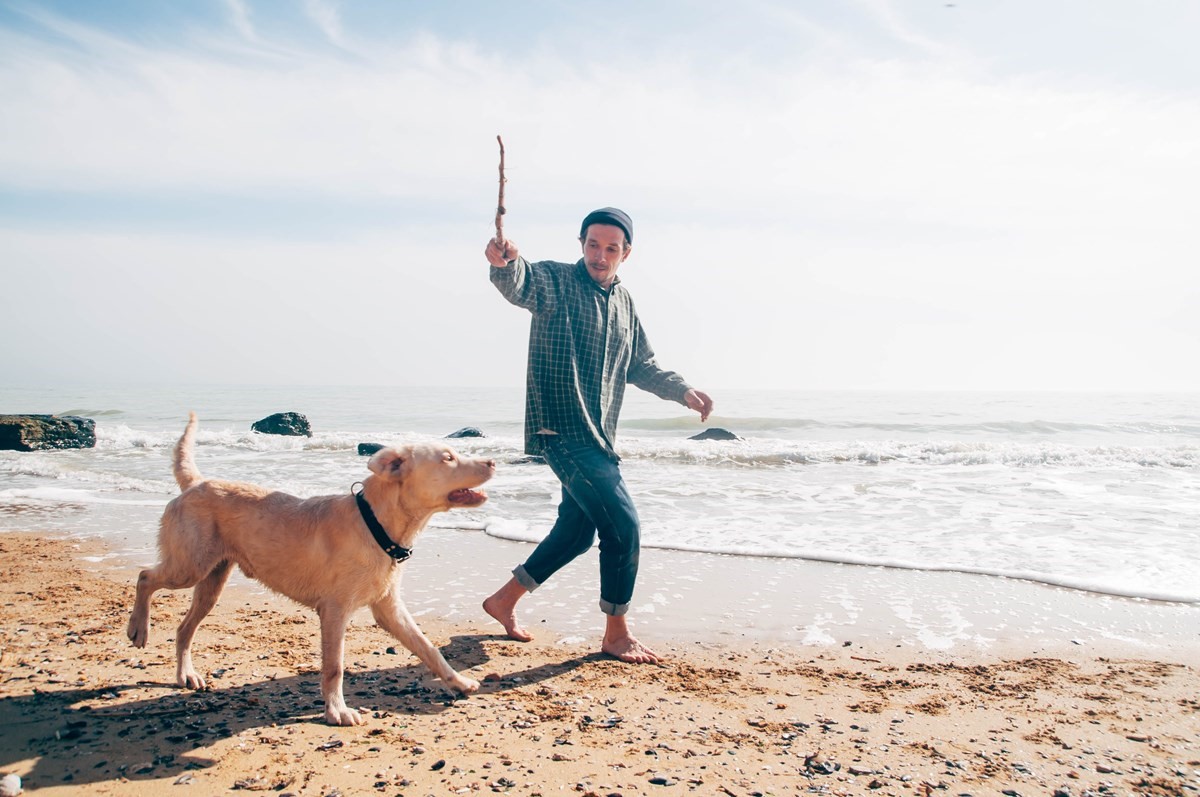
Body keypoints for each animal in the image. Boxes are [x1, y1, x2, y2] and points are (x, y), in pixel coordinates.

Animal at [125, 412, 492, 724]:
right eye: (448, 458)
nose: (491, 461)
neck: (375, 523)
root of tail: (195, 483)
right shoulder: (334, 611)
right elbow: (334, 667)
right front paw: (337, 711)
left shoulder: (389, 608)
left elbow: (428, 648)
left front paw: (459, 681)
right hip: (189, 565)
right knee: (145, 577)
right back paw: (138, 628)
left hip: (211, 581)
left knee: (183, 628)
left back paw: (185, 674)